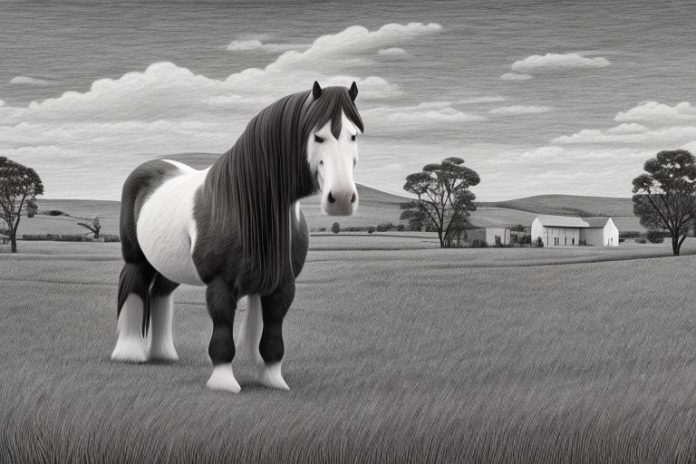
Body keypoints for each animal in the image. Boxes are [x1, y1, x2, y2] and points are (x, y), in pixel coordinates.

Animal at [111, 81, 363, 393]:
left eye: (354, 135)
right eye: (318, 136)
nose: (341, 198)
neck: (244, 203)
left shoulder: (282, 286)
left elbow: (273, 339)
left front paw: (273, 380)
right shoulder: (221, 285)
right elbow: (222, 337)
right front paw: (223, 383)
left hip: (169, 264)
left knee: (160, 293)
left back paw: (163, 354)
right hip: (137, 259)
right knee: (133, 287)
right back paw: (130, 352)